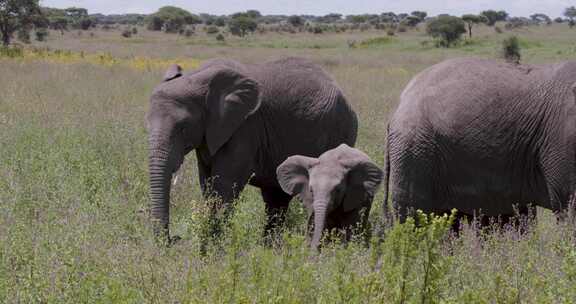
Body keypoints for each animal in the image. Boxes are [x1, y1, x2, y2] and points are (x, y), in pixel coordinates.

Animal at [146, 57, 358, 245]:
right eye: (146, 124)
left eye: (183, 128)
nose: (174, 239)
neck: (198, 77)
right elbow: (207, 182)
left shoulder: (245, 127)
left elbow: (225, 185)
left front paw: (212, 248)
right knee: (275, 198)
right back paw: (269, 247)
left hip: (340, 130)